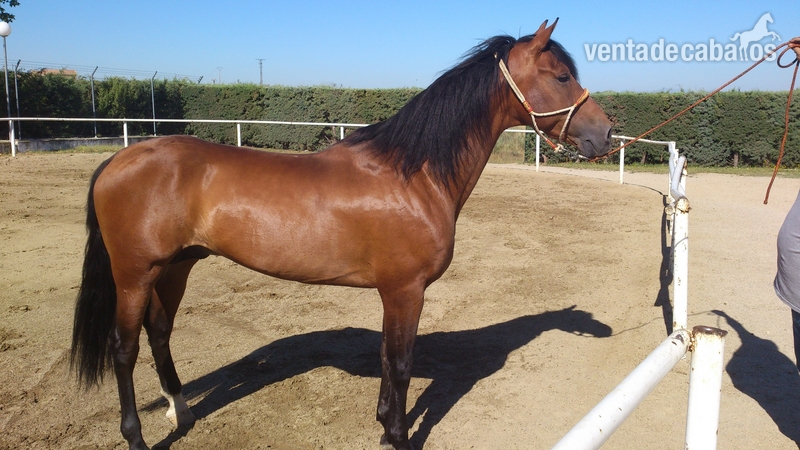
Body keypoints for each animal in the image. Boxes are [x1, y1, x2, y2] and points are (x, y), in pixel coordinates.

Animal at [70, 19, 612, 450]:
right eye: (562, 76)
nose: (606, 134)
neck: (413, 175)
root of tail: (121, 158)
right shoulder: (406, 290)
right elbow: (401, 363)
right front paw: (398, 436)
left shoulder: (395, 293)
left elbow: (388, 358)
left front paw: (384, 426)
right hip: (135, 273)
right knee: (124, 348)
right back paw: (136, 436)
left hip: (176, 266)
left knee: (159, 332)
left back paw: (181, 413)